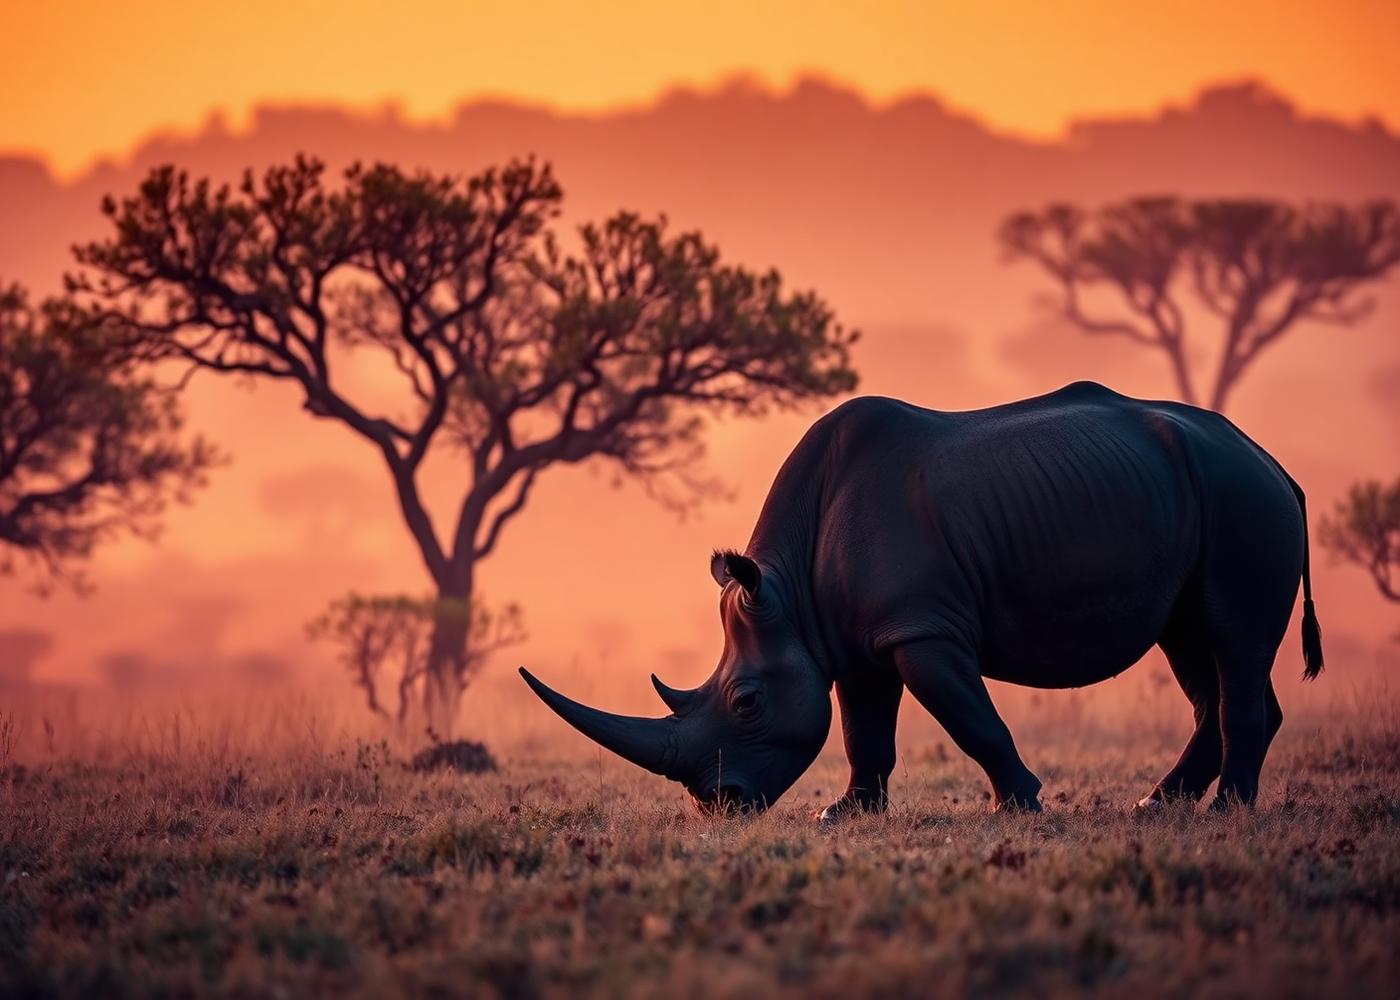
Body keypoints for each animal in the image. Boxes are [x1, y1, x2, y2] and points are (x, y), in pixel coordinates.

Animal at [520, 382, 1323, 816]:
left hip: (1239, 499)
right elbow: (863, 730)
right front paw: (843, 815)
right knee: (1193, 644)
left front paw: (1018, 803)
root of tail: (1276, 464)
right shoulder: (854, 639)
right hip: (1203, 499)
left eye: (746, 703)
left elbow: (972, 719)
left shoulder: (922, 628)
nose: (716, 804)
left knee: (1231, 641)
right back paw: (1158, 806)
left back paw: (1226, 810)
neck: (786, 588)